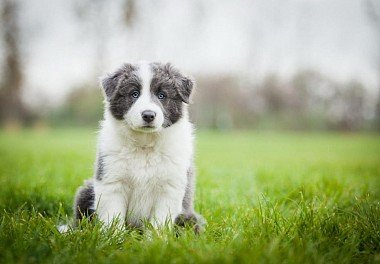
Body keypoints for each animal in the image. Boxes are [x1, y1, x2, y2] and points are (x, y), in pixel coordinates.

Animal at [67, 61, 206, 233]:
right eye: (134, 94)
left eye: (162, 95)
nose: (148, 115)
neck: (144, 145)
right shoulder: (112, 182)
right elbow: (113, 218)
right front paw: (114, 237)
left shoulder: (169, 188)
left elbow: (159, 223)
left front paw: (155, 239)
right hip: (86, 191)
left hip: (189, 218)